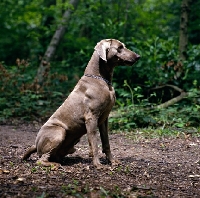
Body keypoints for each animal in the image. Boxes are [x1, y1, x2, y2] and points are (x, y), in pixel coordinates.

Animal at [22, 38, 141, 169]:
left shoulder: (104, 119)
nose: (138, 56)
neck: (101, 79)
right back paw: (55, 164)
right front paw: (97, 164)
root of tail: (36, 144)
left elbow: (106, 143)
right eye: (120, 47)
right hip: (59, 132)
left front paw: (112, 161)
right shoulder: (91, 118)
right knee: (40, 160)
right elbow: (94, 144)